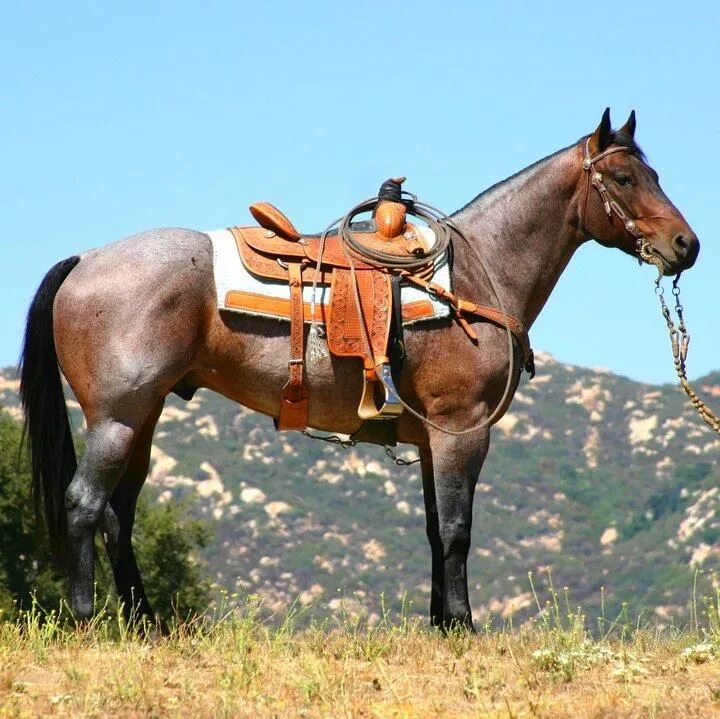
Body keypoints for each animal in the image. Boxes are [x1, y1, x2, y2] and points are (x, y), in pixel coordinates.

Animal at [21, 109, 696, 632]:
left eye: (655, 174)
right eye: (624, 177)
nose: (686, 246)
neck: (477, 275)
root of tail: (86, 260)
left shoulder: (430, 439)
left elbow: (435, 530)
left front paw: (442, 626)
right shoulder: (461, 431)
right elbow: (458, 530)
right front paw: (465, 627)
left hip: (144, 417)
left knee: (118, 515)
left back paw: (146, 623)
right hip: (117, 418)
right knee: (84, 504)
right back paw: (87, 619)